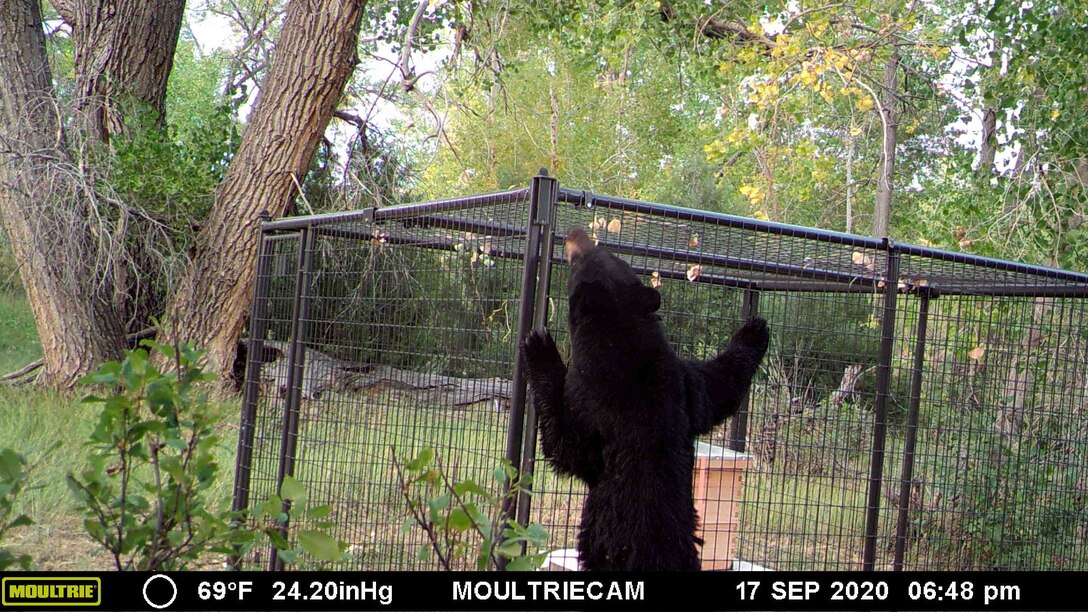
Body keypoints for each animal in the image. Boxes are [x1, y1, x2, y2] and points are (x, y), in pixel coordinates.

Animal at [520, 226, 770, 570]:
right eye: (607, 252)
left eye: (579, 260)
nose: (574, 232)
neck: (622, 342)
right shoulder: (680, 384)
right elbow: (716, 387)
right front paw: (755, 329)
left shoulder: (592, 403)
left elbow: (569, 447)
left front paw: (540, 347)